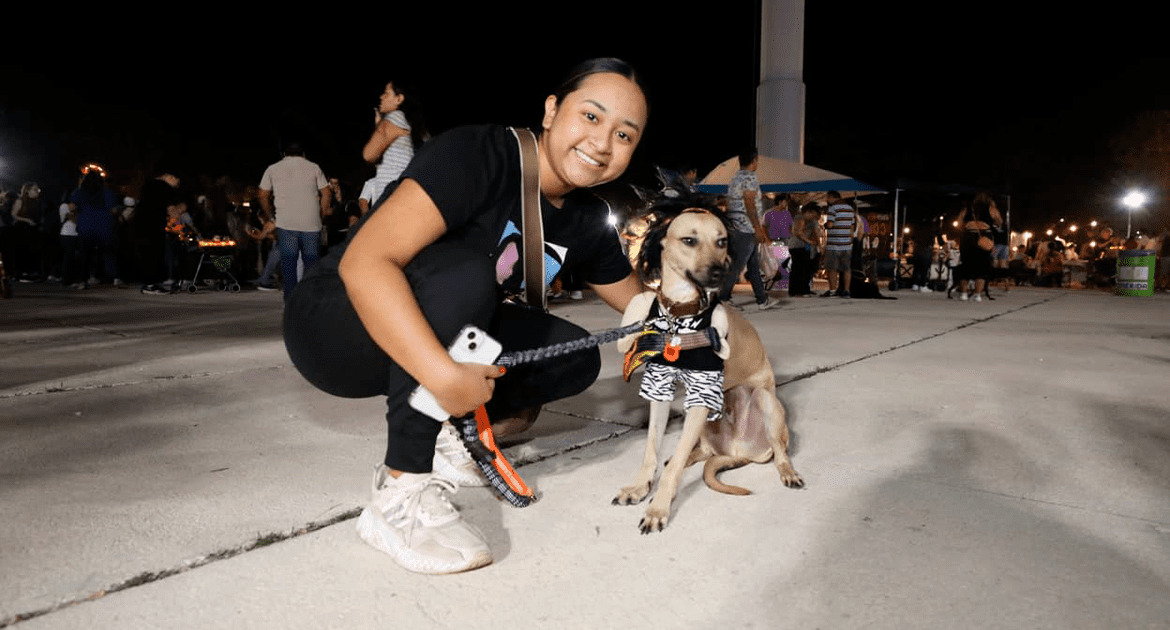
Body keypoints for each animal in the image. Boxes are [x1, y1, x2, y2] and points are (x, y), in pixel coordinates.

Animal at [614, 202, 803, 534]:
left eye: (722, 241)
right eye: (689, 240)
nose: (721, 272)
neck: (679, 316)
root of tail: (737, 453)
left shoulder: (702, 394)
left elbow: (672, 465)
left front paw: (658, 507)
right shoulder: (660, 390)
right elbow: (651, 450)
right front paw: (640, 488)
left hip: (764, 402)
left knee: (779, 452)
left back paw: (787, 471)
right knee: (698, 452)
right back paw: (690, 456)